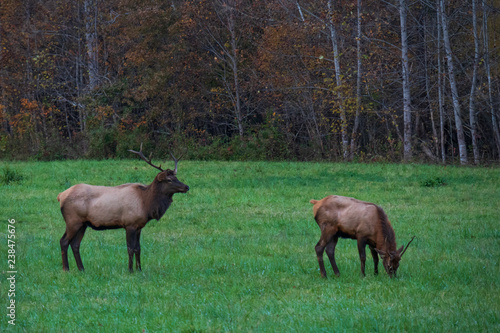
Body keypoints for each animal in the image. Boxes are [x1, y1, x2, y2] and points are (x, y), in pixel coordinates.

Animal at [57, 144, 189, 272]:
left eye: (177, 177)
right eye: (169, 180)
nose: (186, 187)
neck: (146, 204)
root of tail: (60, 196)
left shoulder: (139, 226)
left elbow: (138, 248)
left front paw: (139, 269)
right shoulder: (129, 224)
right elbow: (130, 248)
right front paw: (130, 270)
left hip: (83, 224)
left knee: (75, 244)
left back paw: (81, 269)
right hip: (72, 221)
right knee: (64, 241)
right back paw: (66, 269)